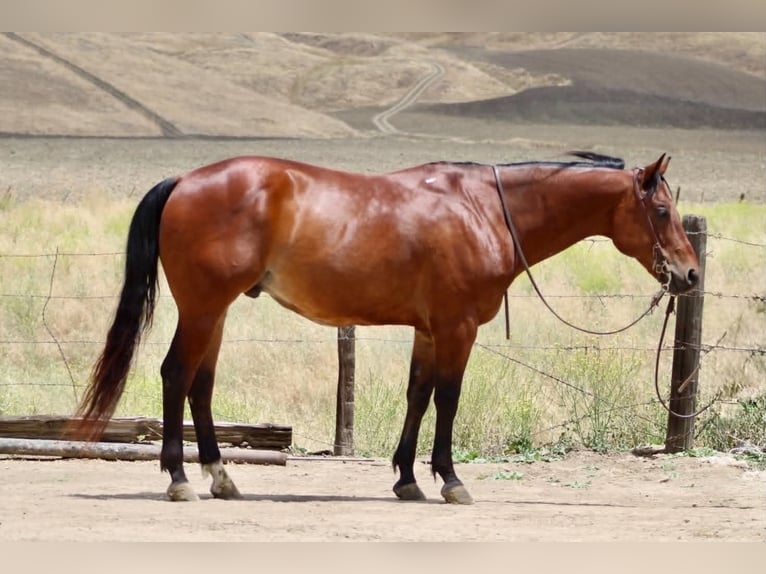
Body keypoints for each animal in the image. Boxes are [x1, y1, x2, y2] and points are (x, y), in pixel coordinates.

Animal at [70, 151, 700, 504]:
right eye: (661, 211)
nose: (690, 274)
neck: (486, 211)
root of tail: (184, 180)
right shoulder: (457, 327)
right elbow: (448, 399)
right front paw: (449, 480)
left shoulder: (430, 330)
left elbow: (417, 396)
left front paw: (407, 480)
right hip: (203, 308)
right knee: (176, 375)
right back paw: (179, 479)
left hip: (217, 311)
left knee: (200, 385)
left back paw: (222, 478)